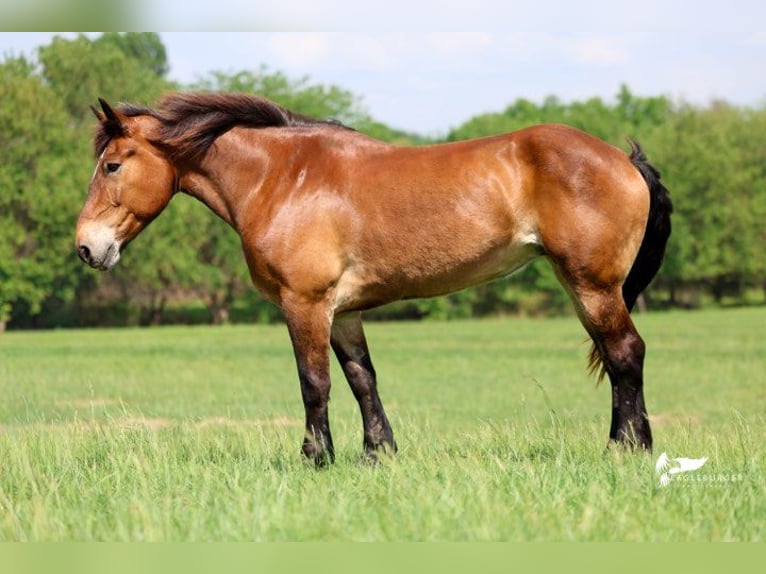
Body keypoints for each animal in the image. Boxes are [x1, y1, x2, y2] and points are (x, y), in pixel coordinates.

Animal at [75, 92, 672, 466]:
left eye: (112, 165)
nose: (86, 247)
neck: (284, 178)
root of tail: (623, 159)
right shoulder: (344, 313)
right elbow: (363, 379)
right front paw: (376, 454)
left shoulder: (306, 304)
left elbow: (314, 383)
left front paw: (316, 458)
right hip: (583, 287)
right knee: (617, 357)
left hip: (593, 286)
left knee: (625, 354)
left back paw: (628, 449)